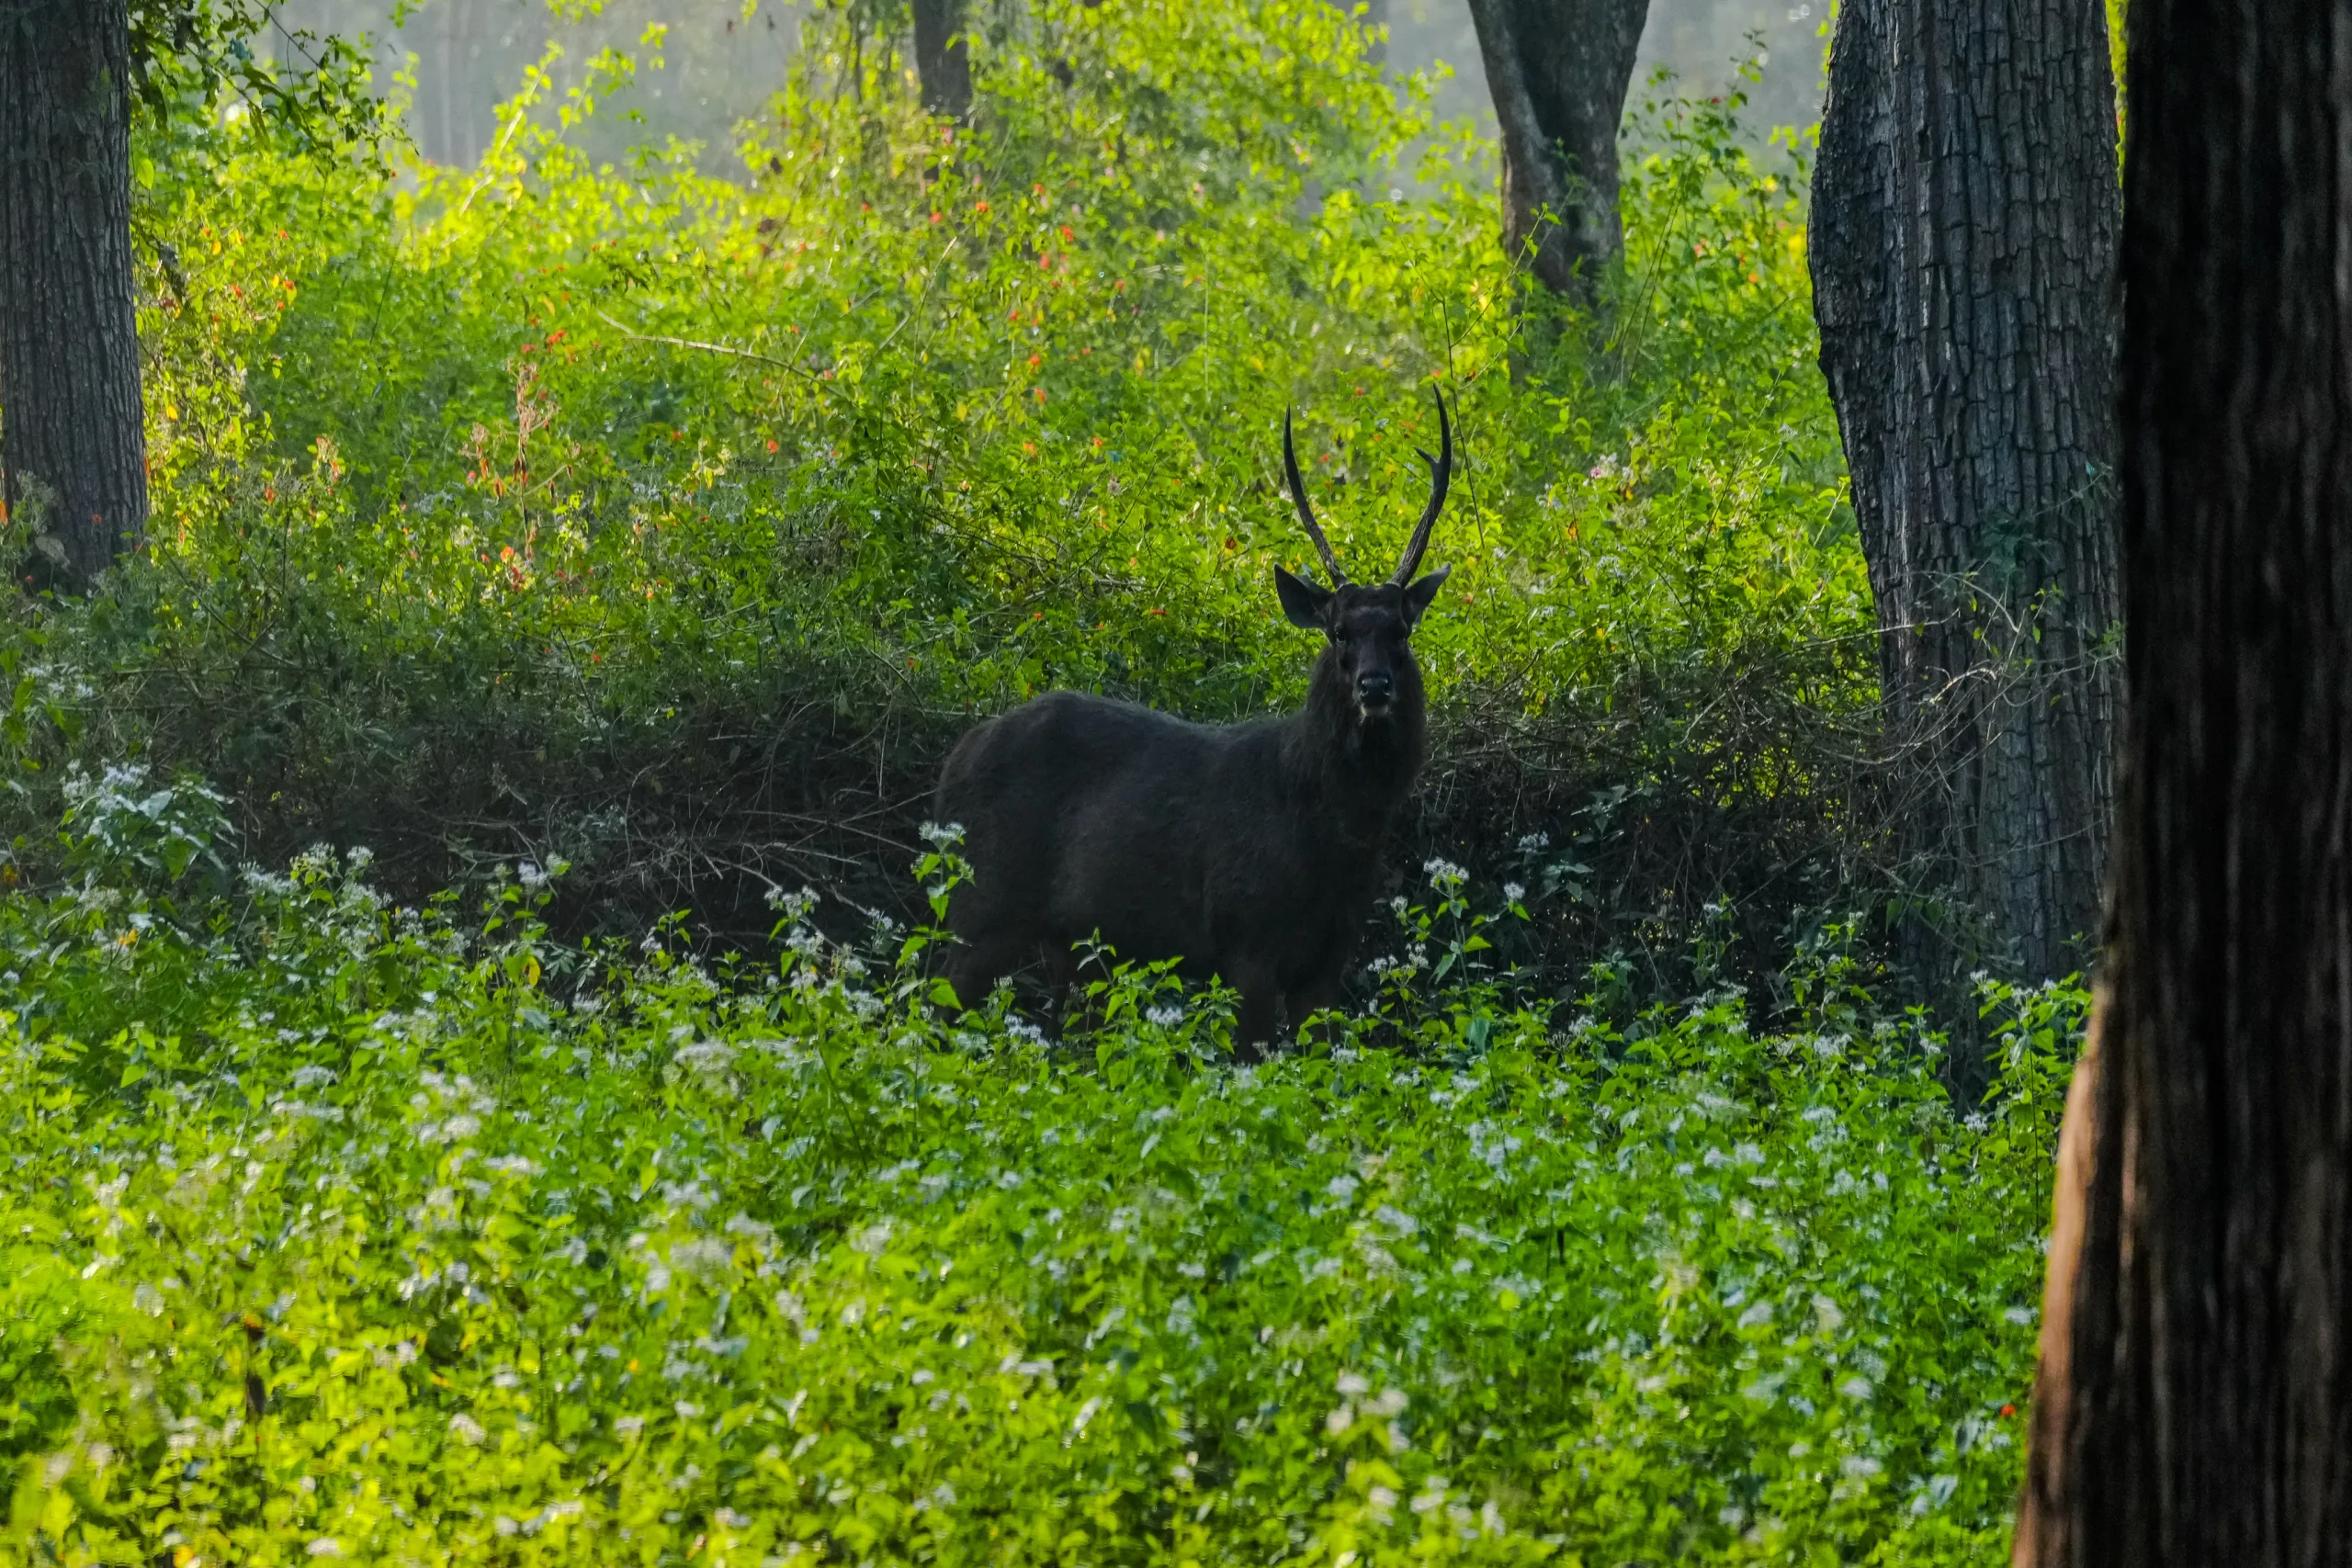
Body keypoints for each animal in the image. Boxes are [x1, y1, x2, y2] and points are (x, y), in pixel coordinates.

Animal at [933, 389, 1454, 1051]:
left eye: (1402, 632)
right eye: (1339, 631)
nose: (1375, 686)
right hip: (983, 900)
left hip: (1066, 938)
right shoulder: (1244, 936)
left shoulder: (1330, 957)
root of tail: (952, 764)